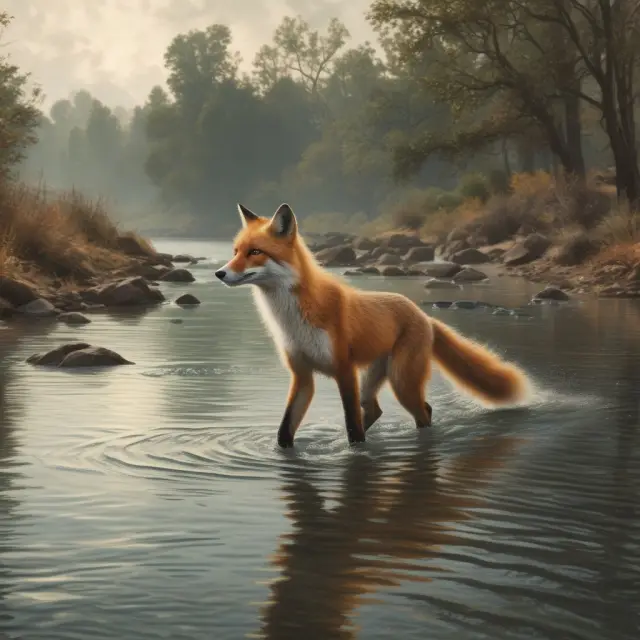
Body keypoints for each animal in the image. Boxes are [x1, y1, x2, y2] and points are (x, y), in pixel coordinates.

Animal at [215, 202, 529, 448]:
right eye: (235, 251)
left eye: (255, 252)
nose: (219, 273)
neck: (294, 317)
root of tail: (423, 314)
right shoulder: (302, 376)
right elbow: (285, 431)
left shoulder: (344, 371)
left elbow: (352, 427)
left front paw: (355, 451)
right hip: (371, 383)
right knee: (378, 410)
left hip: (401, 383)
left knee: (423, 412)